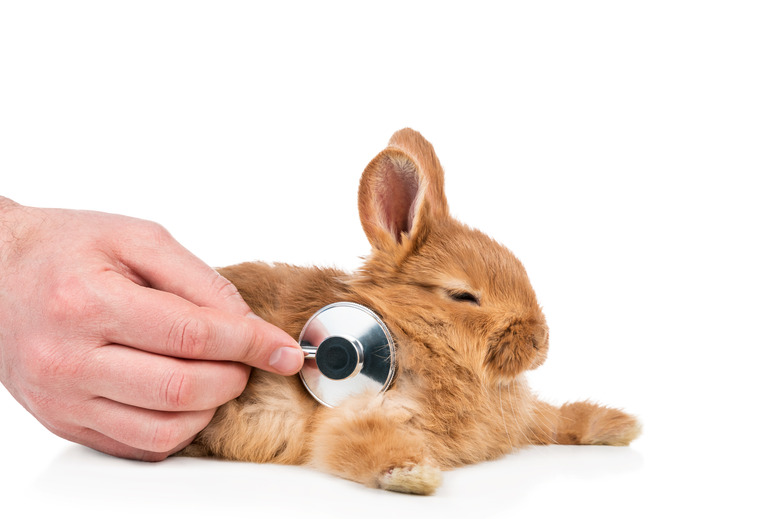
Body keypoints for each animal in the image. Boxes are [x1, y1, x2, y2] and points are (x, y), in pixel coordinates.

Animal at [181, 129, 640, 496]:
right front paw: (414, 475)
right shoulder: (355, 416)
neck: (415, 336)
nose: (539, 341)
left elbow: (558, 418)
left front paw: (619, 425)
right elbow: (363, 443)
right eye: (462, 296)